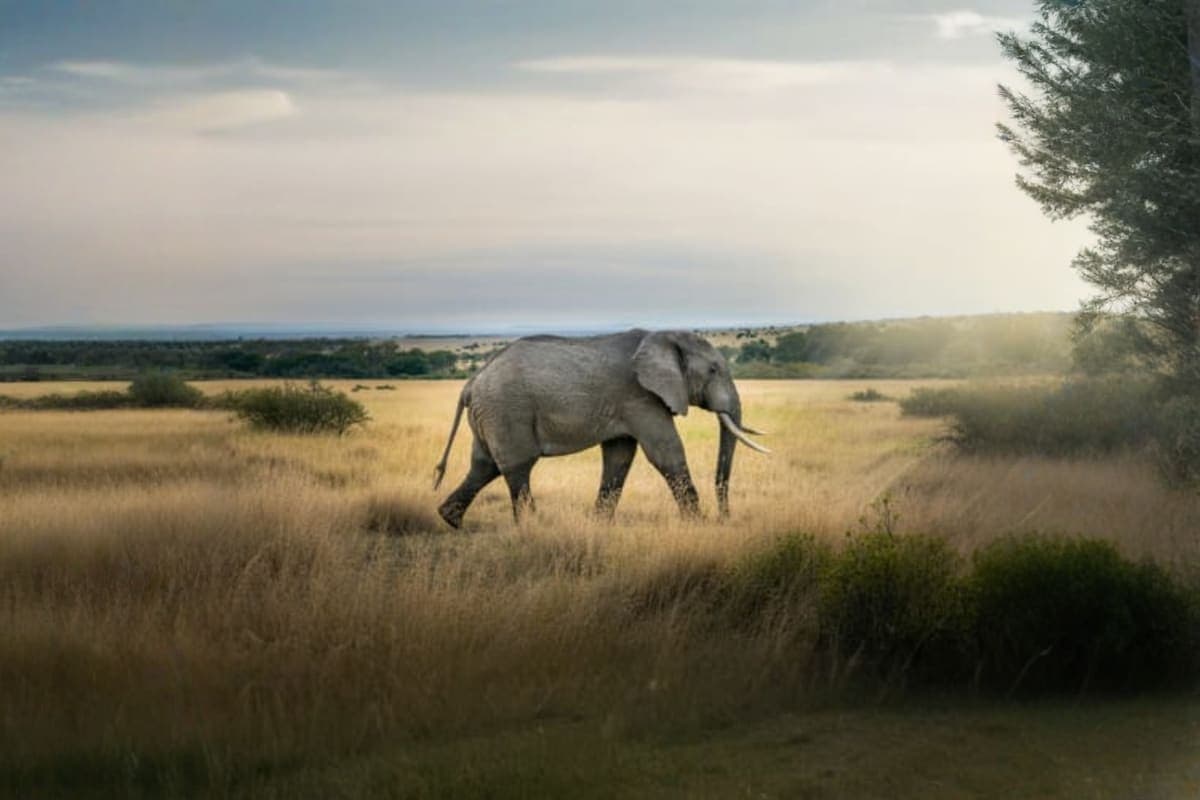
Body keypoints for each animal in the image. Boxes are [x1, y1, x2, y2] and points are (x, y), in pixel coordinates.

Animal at [432, 328, 768, 528]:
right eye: (713, 370)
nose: (725, 517)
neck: (663, 337)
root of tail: (472, 382)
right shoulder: (640, 397)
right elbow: (666, 452)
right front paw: (696, 524)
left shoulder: (626, 406)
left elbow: (619, 457)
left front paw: (599, 524)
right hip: (506, 411)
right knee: (517, 465)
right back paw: (532, 527)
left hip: (489, 414)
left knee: (484, 465)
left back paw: (451, 521)